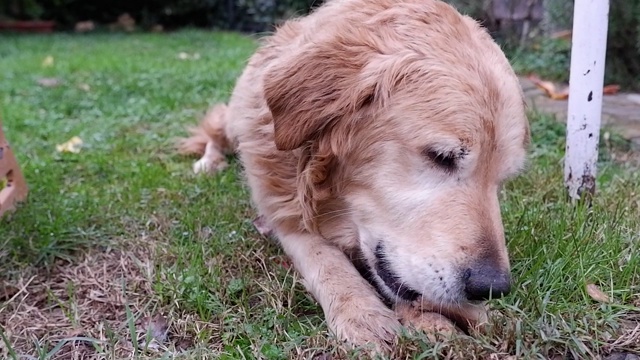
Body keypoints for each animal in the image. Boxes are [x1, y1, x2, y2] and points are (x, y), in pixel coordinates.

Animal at [176, 0, 528, 350]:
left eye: (501, 180)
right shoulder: (284, 211)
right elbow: (327, 260)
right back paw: (208, 162)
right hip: (235, 120)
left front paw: (448, 316)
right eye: (441, 157)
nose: (492, 287)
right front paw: (363, 313)